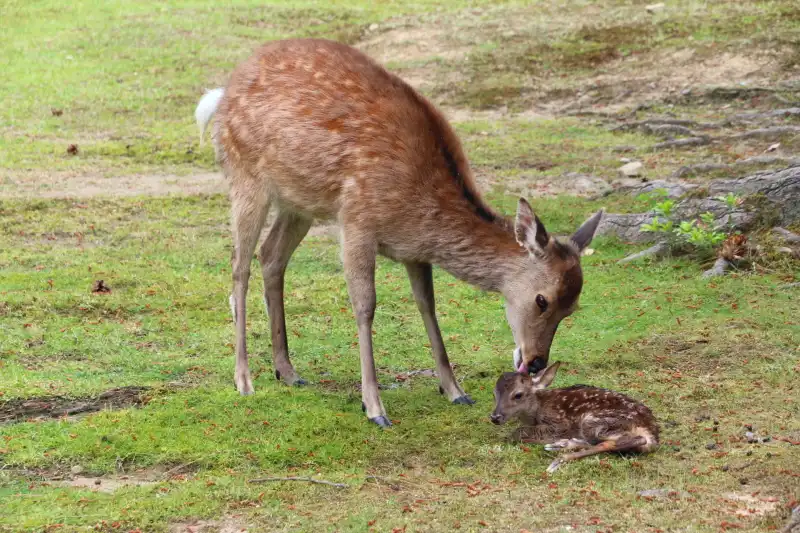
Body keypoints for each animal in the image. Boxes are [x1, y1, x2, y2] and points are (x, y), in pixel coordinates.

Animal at [195, 38, 600, 428]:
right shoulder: (357, 220)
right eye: (542, 299)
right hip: (246, 178)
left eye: (573, 307)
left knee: (271, 255)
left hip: (298, 201)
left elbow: (427, 306)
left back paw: (287, 370)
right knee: (239, 265)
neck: (422, 208)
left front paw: (455, 390)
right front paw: (374, 406)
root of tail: (221, 93)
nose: (536, 361)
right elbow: (365, 306)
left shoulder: (414, 250)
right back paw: (244, 379)